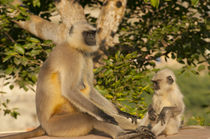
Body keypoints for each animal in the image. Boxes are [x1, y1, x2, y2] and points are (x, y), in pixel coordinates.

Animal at [0, 0, 154, 139]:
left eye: (93, 33)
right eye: (87, 34)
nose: (92, 38)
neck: (74, 46)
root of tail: (43, 125)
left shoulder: (85, 56)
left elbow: (90, 88)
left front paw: (122, 113)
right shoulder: (72, 57)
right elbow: (70, 90)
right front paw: (105, 116)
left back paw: (138, 130)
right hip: (58, 125)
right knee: (88, 116)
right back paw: (121, 134)